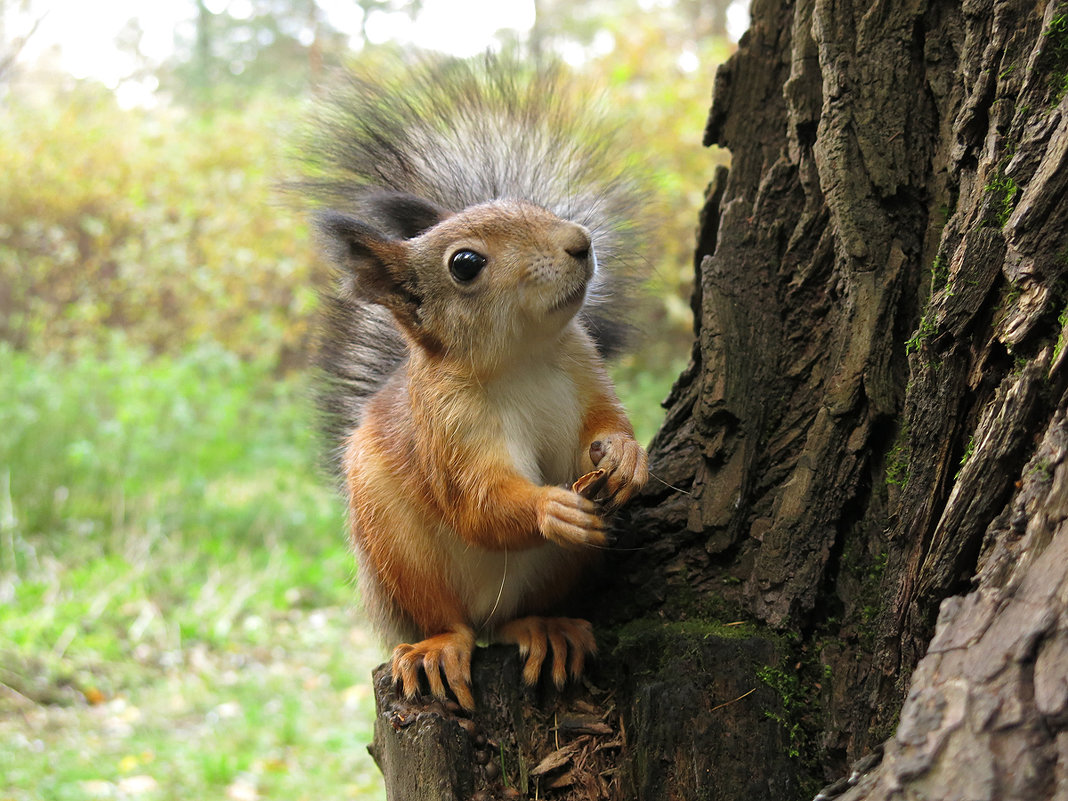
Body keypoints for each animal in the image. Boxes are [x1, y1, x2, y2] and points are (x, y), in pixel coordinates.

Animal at [303, 55, 649, 709]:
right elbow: (478, 500)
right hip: (395, 549)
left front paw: (627, 454)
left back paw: (545, 628)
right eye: (465, 265)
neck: (523, 359)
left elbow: (605, 421)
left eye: (528, 204)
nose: (580, 242)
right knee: (451, 621)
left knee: (515, 621)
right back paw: (438, 647)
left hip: (558, 573)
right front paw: (548, 508)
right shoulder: (448, 425)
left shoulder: (585, 367)